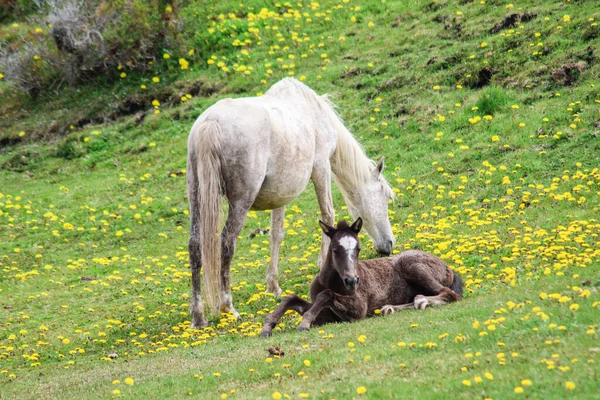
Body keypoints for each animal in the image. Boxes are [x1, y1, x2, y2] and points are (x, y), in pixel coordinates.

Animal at [186, 78, 394, 328]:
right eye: (385, 196)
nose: (389, 245)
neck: (315, 113)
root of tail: (210, 124)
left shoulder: (280, 193)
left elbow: (276, 234)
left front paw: (273, 286)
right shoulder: (321, 167)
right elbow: (328, 215)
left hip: (196, 197)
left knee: (195, 246)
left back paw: (198, 317)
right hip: (240, 201)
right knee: (227, 243)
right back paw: (228, 307)